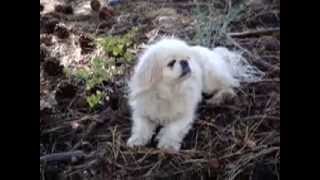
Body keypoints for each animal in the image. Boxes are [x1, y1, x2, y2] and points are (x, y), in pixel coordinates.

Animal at [126, 37, 264, 151]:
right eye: (171, 63)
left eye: (187, 58)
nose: (185, 62)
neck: (168, 93)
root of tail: (214, 53)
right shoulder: (142, 112)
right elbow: (141, 127)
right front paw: (137, 140)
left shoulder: (184, 115)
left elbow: (173, 128)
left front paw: (168, 144)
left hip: (210, 80)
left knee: (231, 85)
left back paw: (219, 98)